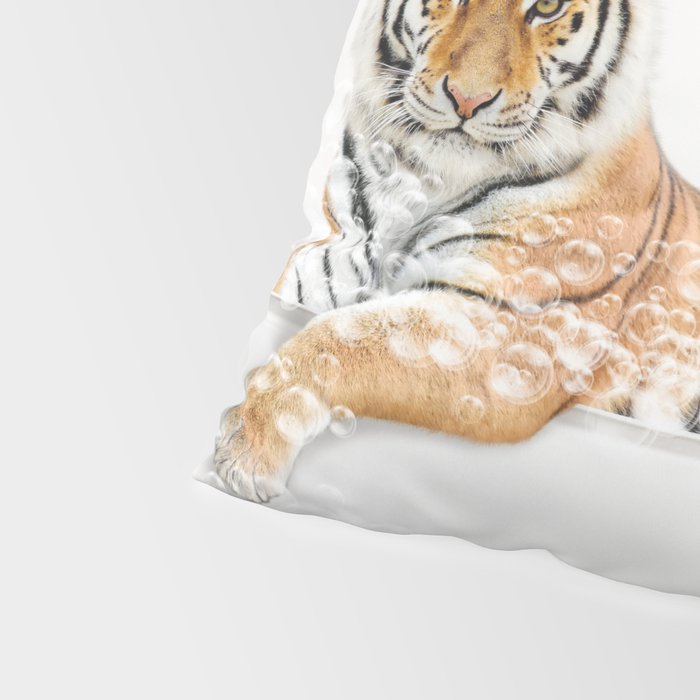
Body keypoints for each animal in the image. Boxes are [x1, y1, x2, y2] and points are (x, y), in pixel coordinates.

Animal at [216, 0, 700, 503]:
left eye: (547, 7)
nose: (467, 100)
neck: (427, 186)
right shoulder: (336, 248)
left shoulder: (514, 332)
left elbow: (337, 338)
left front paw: (246, 447)